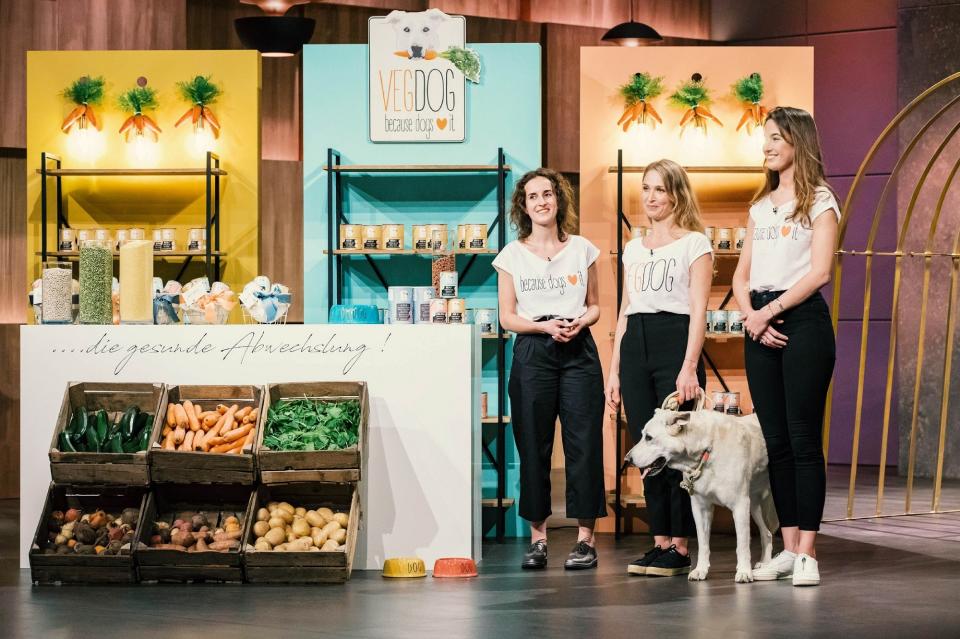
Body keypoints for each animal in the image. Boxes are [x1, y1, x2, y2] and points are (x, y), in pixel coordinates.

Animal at [624, 410, 780, 584]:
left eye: (649, 438)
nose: (627, 459)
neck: (707, 450)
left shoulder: (739, 505)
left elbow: (742, 544)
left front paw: (744, 572)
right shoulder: (700, 508)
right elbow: (703, 543)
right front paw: (701, 570)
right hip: (753, 505)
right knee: (767, 533)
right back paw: (766, 564)